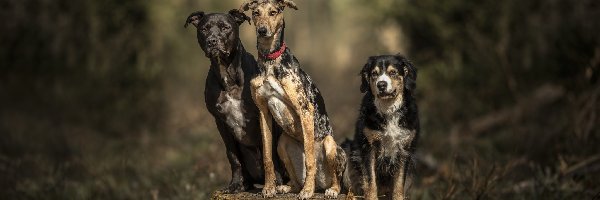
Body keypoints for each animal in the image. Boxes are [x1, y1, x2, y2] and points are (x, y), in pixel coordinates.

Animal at [183, 9, 286, 194]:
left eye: (225, 27)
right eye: (204, 29)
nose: (212, 41)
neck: (228, 75)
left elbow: (270, 151)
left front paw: (276, 183)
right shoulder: (221, 122)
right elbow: (233, 157)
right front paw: (235, 185)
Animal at [238, 0, 344, 199]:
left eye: (273, 12)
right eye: (256, 13)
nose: (262, 30)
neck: (270, 60)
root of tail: (321, 184)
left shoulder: (305, 109)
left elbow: (309, 160)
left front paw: (307, 191)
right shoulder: (263, 112)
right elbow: (267, 157)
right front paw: (269, 188)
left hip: (330, 145)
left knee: (336, 180)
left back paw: (328, 189)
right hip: (282, 143)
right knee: (294, 180)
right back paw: (287, 187)